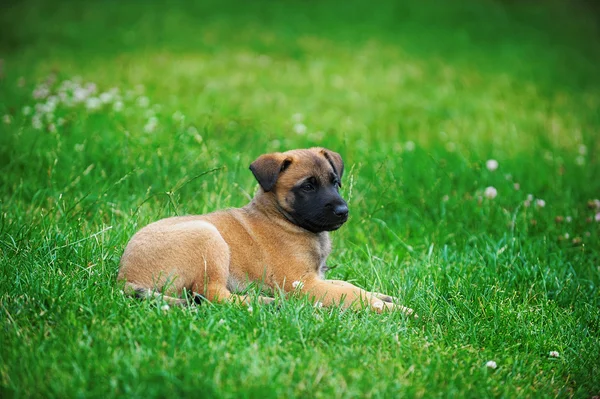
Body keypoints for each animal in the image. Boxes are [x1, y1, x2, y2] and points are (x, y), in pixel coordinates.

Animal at [119, 148, 414, 316]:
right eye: (308, 186)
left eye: (334, 182)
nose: (343, 211)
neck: (281, 218)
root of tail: (125, 276)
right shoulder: (302, 284)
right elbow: (351, 294)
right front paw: (394, 309)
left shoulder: (316, 278)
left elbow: (348, 286)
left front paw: (382, 296)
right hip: (208, 237)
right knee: (212, 295)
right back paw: (267, 303)